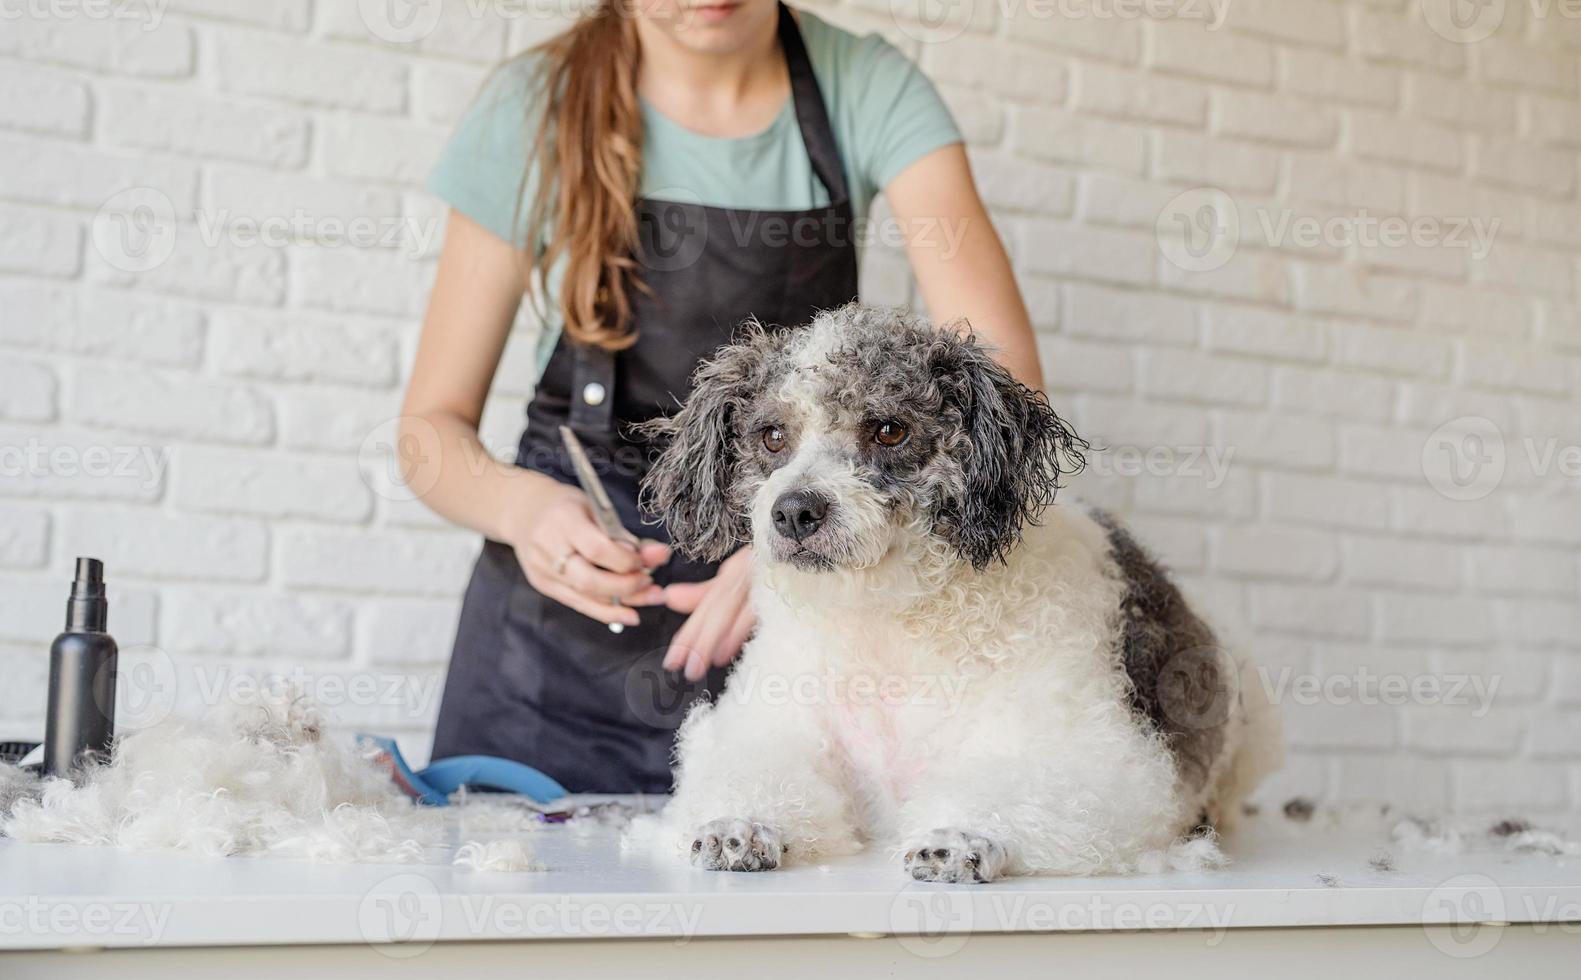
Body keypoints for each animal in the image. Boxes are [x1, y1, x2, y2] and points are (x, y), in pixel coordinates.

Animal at [635, 306, 1277, 878]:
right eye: (771, 437)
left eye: (889, 430)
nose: (794, 511)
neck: (888, 629)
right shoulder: (770, 729)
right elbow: (755, 777)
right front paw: (739, 826)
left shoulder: (1097, 757)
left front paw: (960, 835)